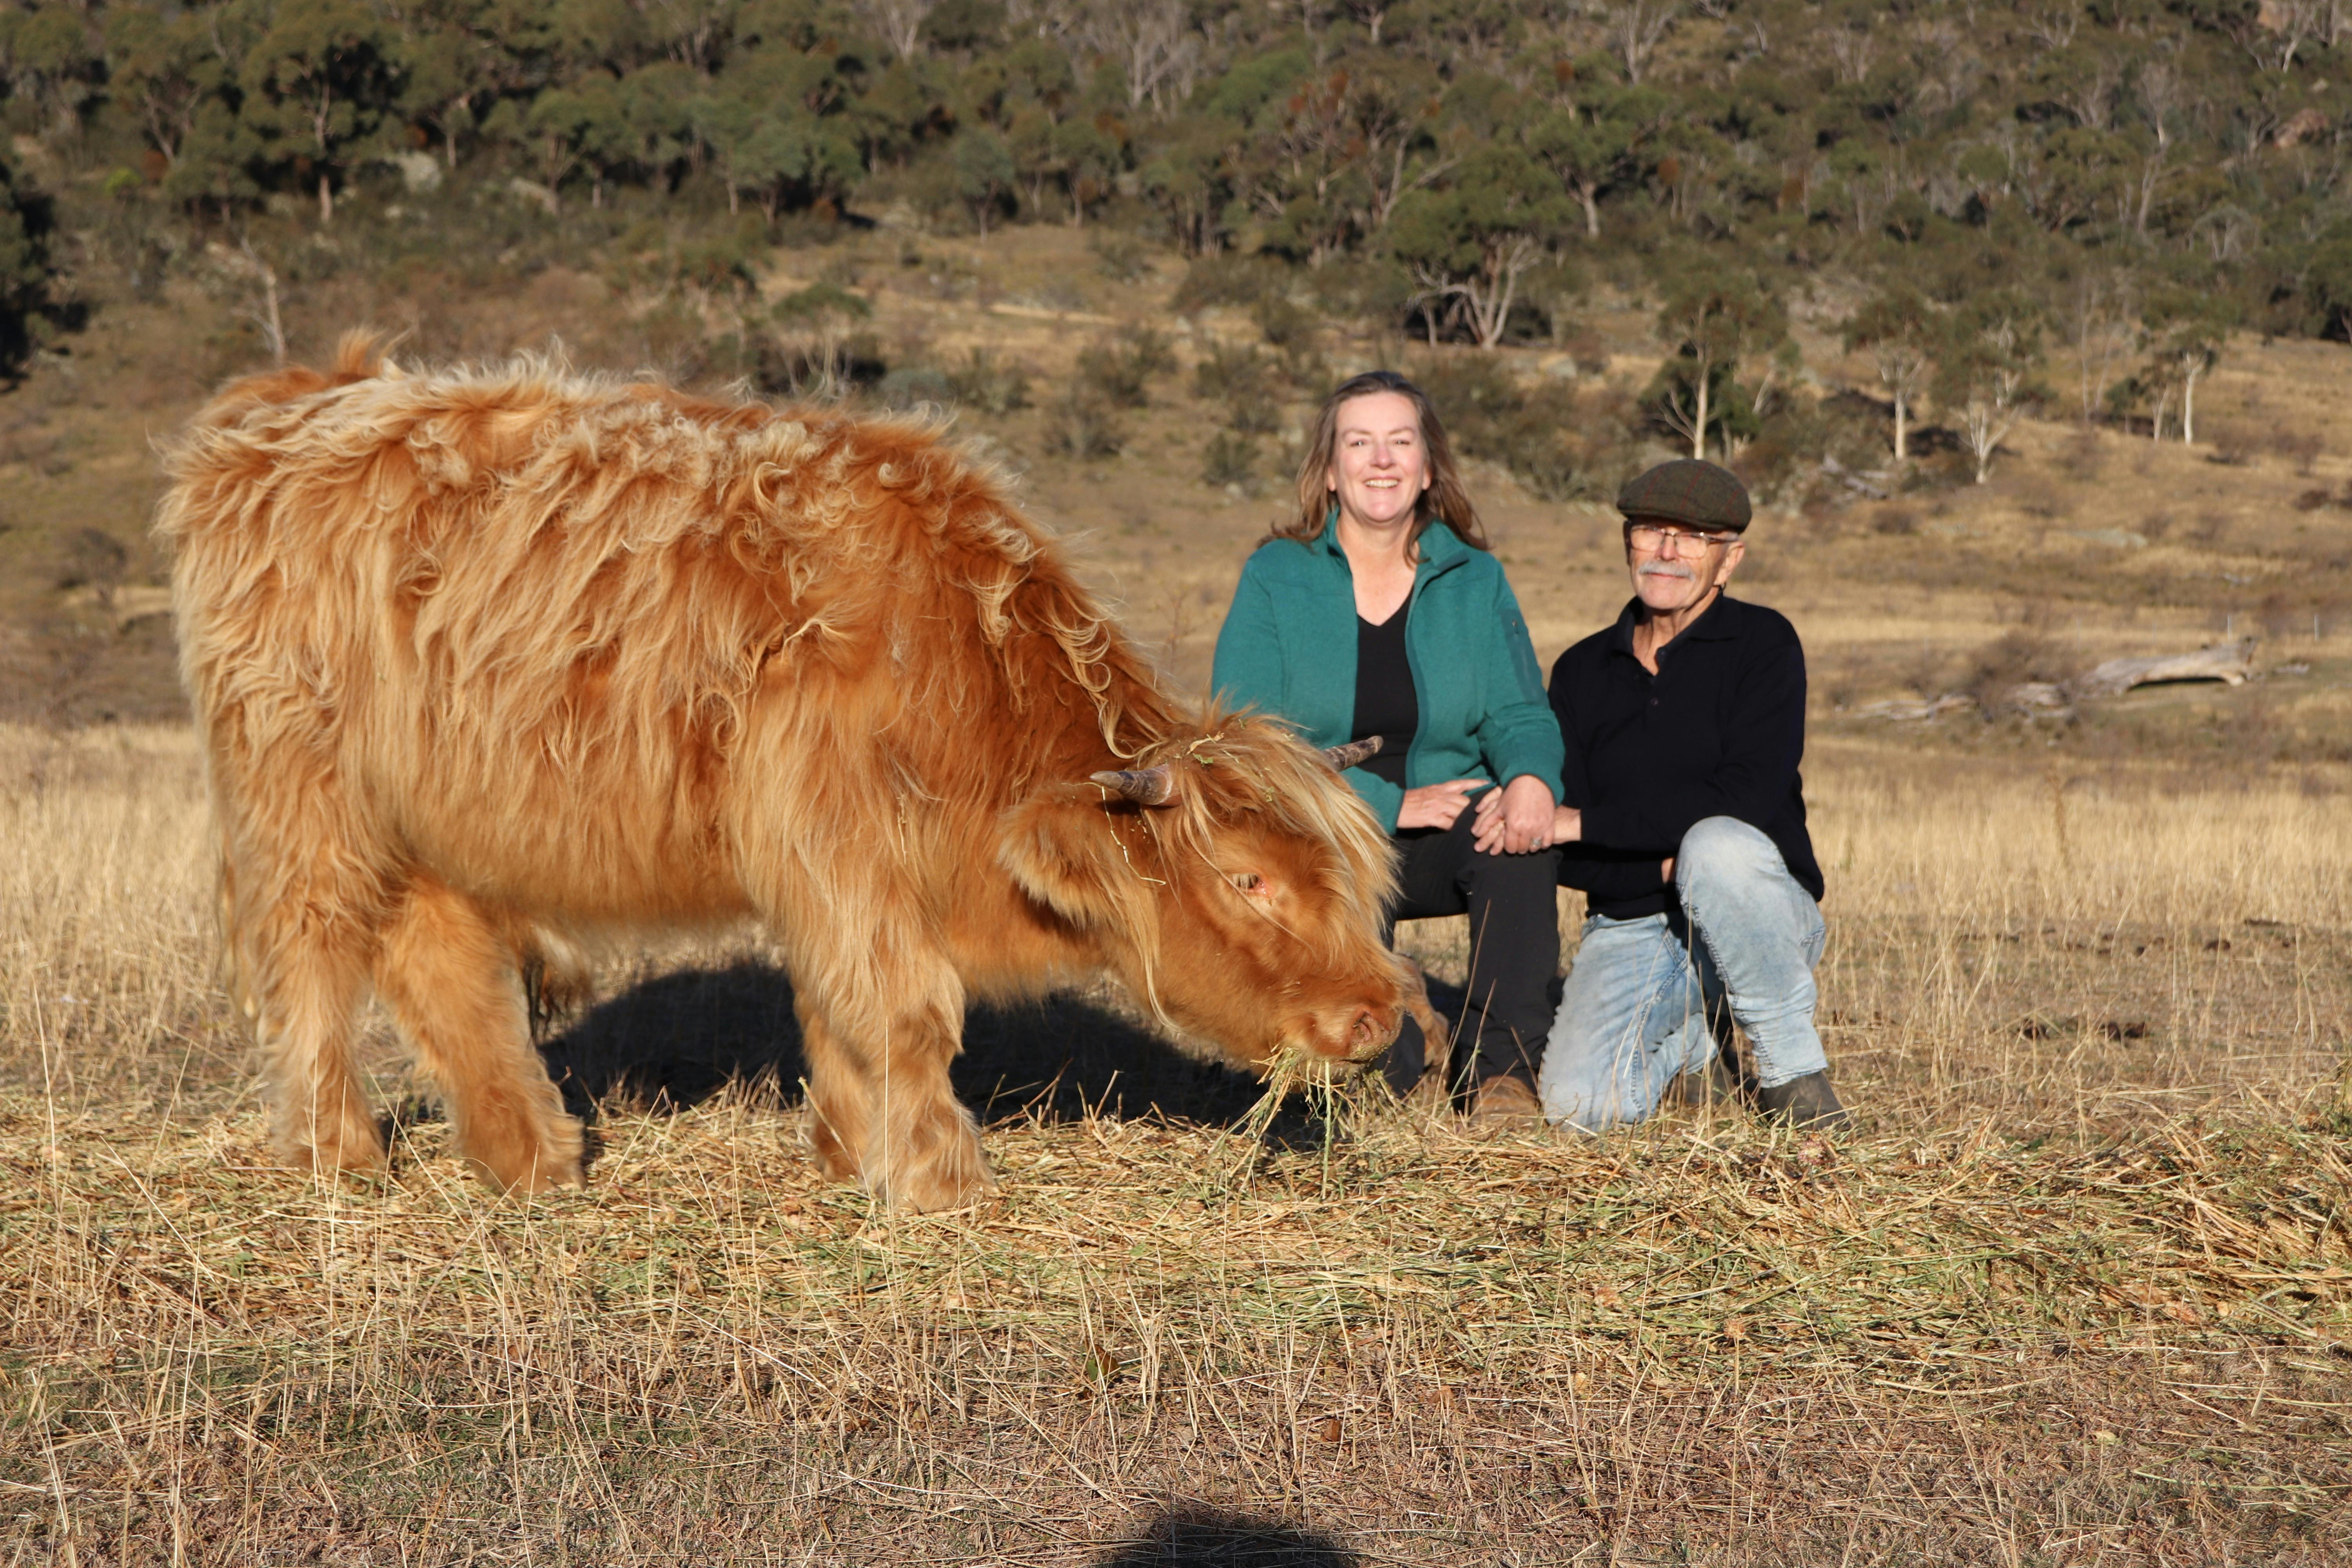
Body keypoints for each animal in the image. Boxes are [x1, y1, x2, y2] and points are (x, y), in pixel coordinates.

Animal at [157, 336, 1410, 1210]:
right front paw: (941, 1179)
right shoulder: (833, 835)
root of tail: (295, 400)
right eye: (1248, 880)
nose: (1378, 1014)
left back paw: (535, 1157)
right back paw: (338, 1153)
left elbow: (837, 1003)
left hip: (442, 810)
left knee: (445, 959)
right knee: (312, 950)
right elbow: (907, 1008)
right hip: (300, 785)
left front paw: (850, 1150)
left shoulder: (834, 864)